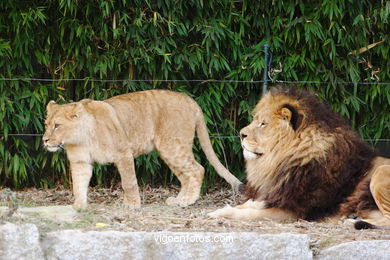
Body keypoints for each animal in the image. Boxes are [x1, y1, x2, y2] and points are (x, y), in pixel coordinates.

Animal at [44, 89, 242, 209]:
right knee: (186, 175)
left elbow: (129, 182)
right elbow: (78, 183)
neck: (80, 138)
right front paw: (78, 206)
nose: (45, 140)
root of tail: (191, 101)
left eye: (57, 126)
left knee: (197, 169)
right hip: (168, 150)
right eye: (46, 125)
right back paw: (178, 200)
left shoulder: (123, 153)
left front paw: (132, 204)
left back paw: (187, 201)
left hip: (172, 147)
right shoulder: (80, 161)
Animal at [209, 86, 390, 229]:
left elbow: (249, 214)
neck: (279, 162)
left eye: (263, 124)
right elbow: (247, 205)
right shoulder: (274, 195)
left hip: (380, 172)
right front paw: (221, 209)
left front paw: (219, 213)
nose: (241, 134)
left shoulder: (292, 211)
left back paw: (352, 222)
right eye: (256, 120)